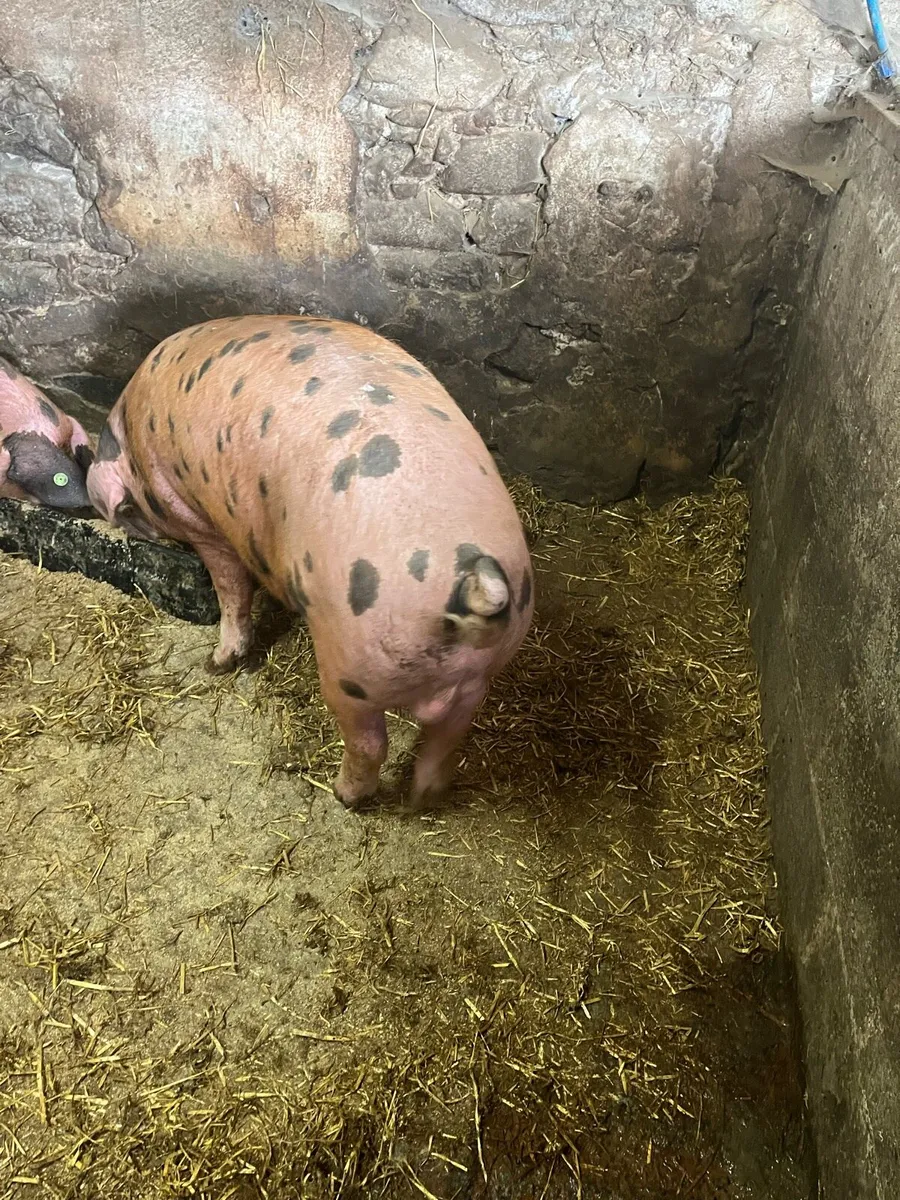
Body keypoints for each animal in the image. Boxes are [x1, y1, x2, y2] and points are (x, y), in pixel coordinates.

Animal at [86, 315, 534, 810]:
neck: (134, 438)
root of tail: (474, 580)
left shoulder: (202, 521)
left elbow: (231, 588)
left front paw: (216, 663)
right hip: (481, 672)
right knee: (447, 737)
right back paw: (421, 799)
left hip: (350, 667)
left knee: (370, 742)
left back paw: (343, 795)